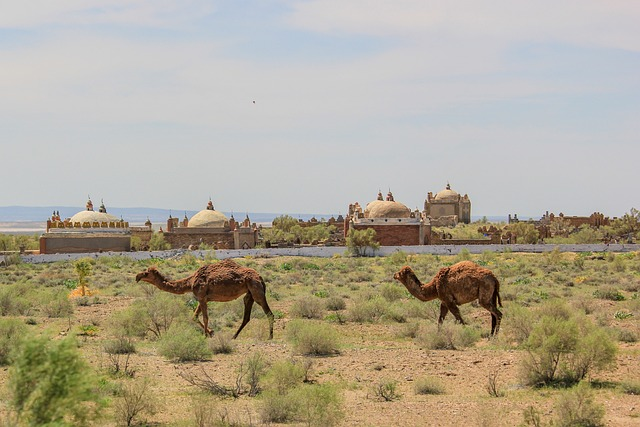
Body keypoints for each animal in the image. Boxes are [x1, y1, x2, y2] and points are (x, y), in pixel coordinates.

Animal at [135, 260, 276, 340]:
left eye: (146, 273)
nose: (137, 276)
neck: (191, 282)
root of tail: (260, 277)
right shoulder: (203, 298)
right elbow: (194, 317)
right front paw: (211, 332)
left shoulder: (201, 297)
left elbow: (205, 318)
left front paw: (205, 335)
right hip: (249, 294)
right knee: (246, 316)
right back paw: (234, 336)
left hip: (256, 290)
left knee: (269, 313)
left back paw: (270, 337)